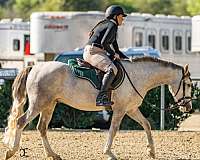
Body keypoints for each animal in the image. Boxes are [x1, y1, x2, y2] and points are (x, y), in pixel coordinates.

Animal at [1, 56, 192, 159]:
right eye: (189, 84)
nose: (188, 107)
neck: (138, 76)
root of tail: (35, 67)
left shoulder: (131, 109)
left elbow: (146, 125)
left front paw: (151, 152)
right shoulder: (120, 110)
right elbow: (113, 130)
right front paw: (109, 153)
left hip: (49, 104)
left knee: (41, 128)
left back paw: (53, 155)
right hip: (38, 104)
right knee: (21, 122)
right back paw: (11, 151)